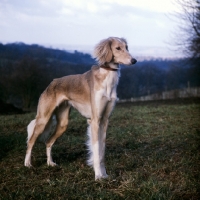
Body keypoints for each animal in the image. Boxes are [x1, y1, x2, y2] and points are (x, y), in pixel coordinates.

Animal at [24, 36, 138, 180]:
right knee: (31, 141)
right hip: (43, 119)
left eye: (127, 47)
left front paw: (105, 175)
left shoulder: (105, 120)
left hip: (63, 124)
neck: (107, 79)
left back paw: (50, 163)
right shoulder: (95, 121)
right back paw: (27, 163)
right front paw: (98, 176)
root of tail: (52, 83)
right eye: (118, 48)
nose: (134, 61)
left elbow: (102, 151)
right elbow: (96, 150)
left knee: (48, 142)